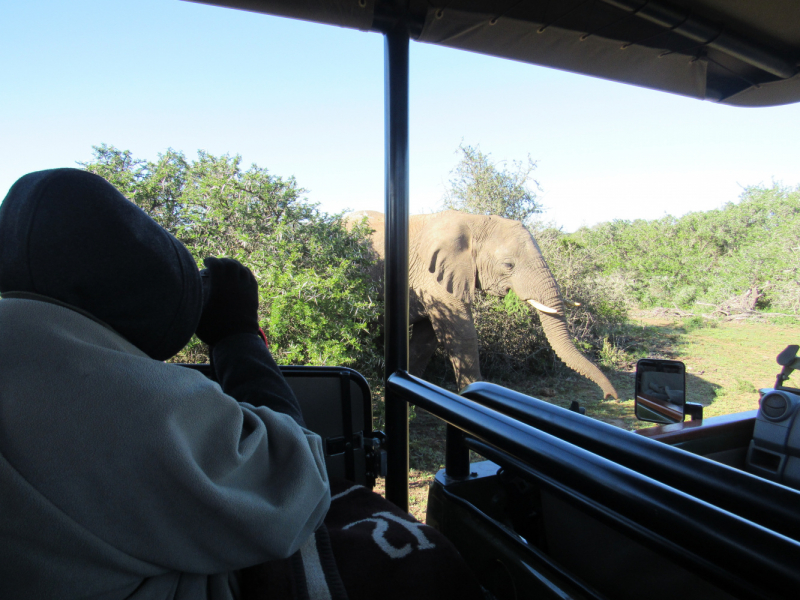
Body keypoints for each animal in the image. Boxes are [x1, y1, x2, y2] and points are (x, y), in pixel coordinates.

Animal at [348, 209, 620, 400]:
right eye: (508, 265)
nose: (610, 396)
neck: (475, 221)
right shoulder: (431, 274)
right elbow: (460, 331)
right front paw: (475, 394)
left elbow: (428, 338)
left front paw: (412, 391)